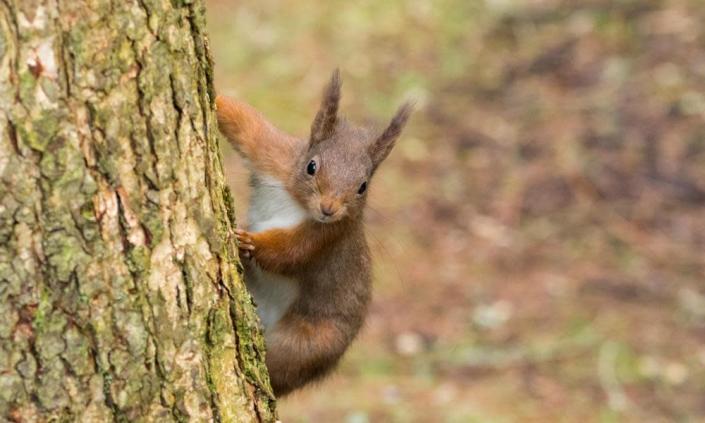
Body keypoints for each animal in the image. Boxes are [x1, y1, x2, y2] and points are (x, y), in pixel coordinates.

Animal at [214, 69, 412, 398]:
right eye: (311, 166)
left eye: (363, 186)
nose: (328, 209)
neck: (298, 202)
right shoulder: (276, 157)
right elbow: (246, 125)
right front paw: (215, 98)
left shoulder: (326, 238)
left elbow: (288, 254)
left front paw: (249, 241)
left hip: (307, 344)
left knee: (277, 370)